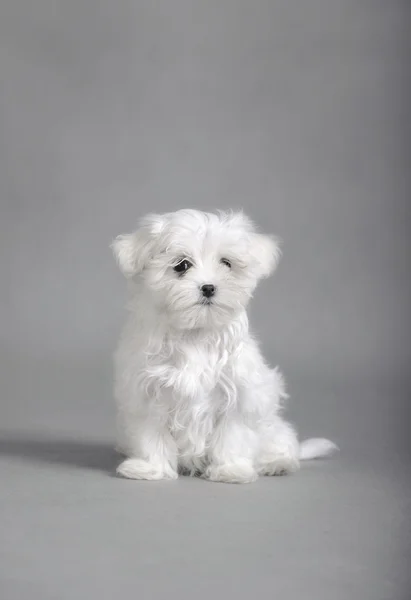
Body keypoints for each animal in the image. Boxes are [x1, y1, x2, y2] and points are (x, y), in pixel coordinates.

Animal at [112, 210, 338, 482]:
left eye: (226, 263)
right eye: (181, 265)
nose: (208, 287)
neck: (196, 334)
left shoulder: (238, 394)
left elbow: (232, 435)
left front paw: (232, 470)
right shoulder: (147, 392)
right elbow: (151, 434)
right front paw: (150, 468)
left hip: (272, 427)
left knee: (282, 442)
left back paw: (277, 463)